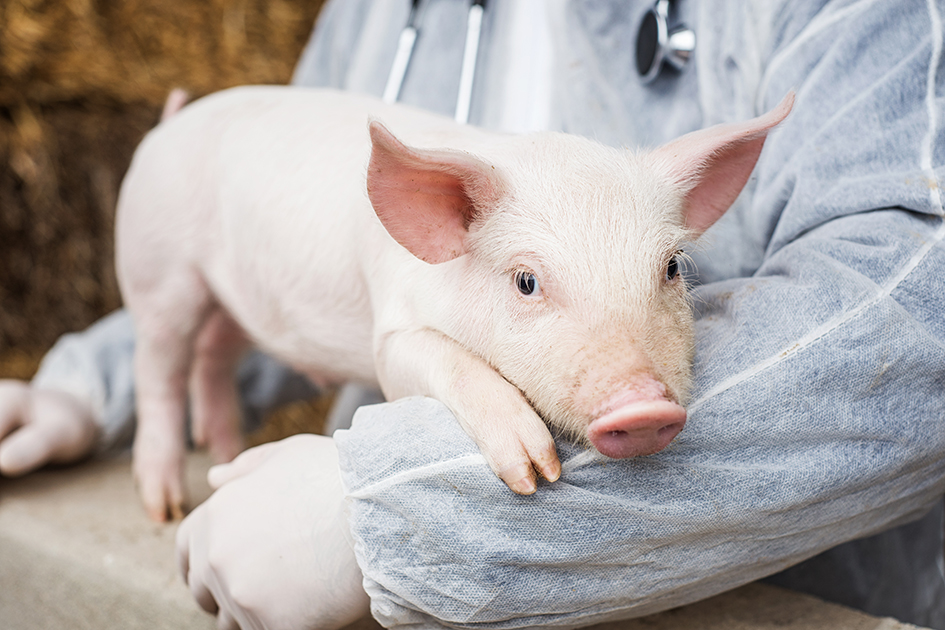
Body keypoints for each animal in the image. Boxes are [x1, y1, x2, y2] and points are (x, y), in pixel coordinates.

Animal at [116, 86, 793, 521]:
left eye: (671, 268)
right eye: (526, 281)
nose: (646, 406)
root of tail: (167, 125)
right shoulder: (391, 334)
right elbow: (430, 362)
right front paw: (533, 474)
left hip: (232, 299)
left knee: (214, 353)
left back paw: (228, 457)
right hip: (158, 270)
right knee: (157, 367)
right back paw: (167, 507)